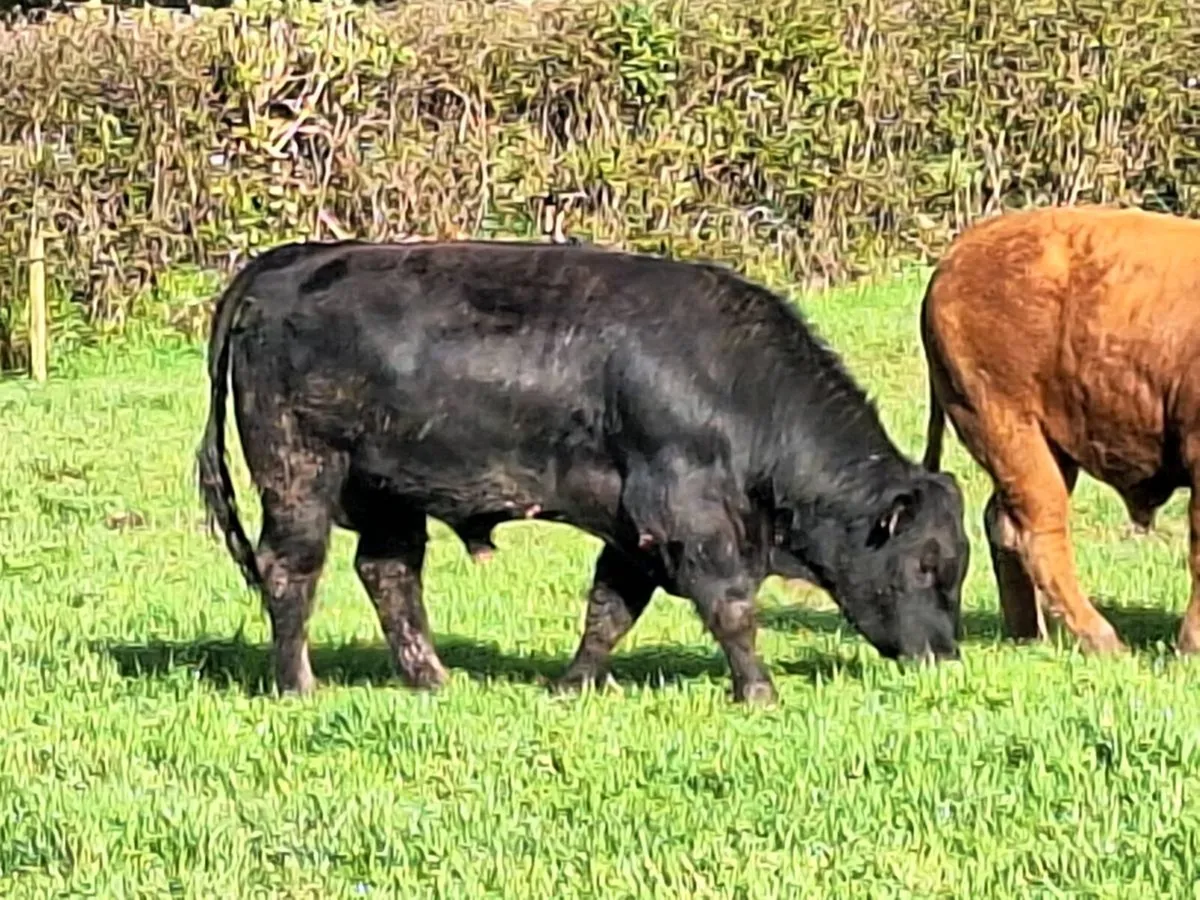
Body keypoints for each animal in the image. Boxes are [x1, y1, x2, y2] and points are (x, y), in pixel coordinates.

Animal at [197, 239, 969, 703]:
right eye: (926, 564)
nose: (945, 656)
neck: (734, 380)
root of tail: (295, 260)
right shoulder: (688, 517)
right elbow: (731, 608)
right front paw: (760, 692)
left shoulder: (635, 533)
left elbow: (609, 610)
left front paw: (572, 686)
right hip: (300, 474)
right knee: (291, 570)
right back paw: (298, 685)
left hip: (390, 492)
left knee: (389, 575)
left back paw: (434, 679)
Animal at [921, 203, 1200, 655]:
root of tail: (958, 254)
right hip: (1011, 431)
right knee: (1038, 530)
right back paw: (1102, 641)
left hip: (1047, 448)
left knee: (1003, 522)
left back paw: (1029, 635)